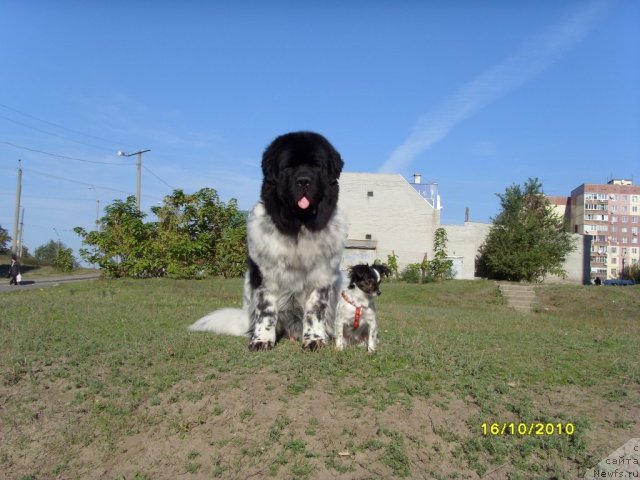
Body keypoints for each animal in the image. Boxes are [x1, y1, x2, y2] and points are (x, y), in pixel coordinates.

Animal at [190, 130, 348, 348]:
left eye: (316, 165)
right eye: (289, 166)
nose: (303, 180)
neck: (298, 226)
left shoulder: (323, 273)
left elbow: (315, 308)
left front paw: (315, 339)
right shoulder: (265, 273)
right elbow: (266, 309)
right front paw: (262, 339)